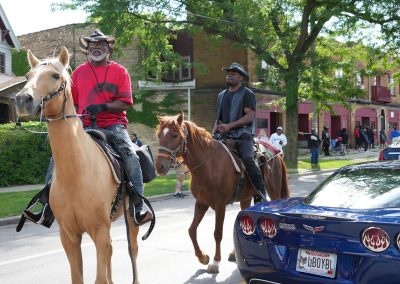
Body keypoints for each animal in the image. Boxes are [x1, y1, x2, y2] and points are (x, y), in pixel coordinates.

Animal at [14, 47, 141, 284]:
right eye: (27, 77)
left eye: (56, 76)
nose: (22, 99)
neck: (76, 173)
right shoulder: (69, 236)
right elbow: (80, 276)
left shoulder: (99, 231)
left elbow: (100, 277)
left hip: (131, 220)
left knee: (133, 251)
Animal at [155, 112, 290, 272]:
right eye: (159, 135)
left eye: (175, 135)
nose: (159, 166)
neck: (208, 165)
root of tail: (277, 153)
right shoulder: (201, 203)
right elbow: (192, 230)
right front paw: (202, 257)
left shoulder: (220, 205)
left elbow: (217, 233)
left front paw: (215, 262)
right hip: (245, 198)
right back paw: (233, 253)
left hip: (273, 191)